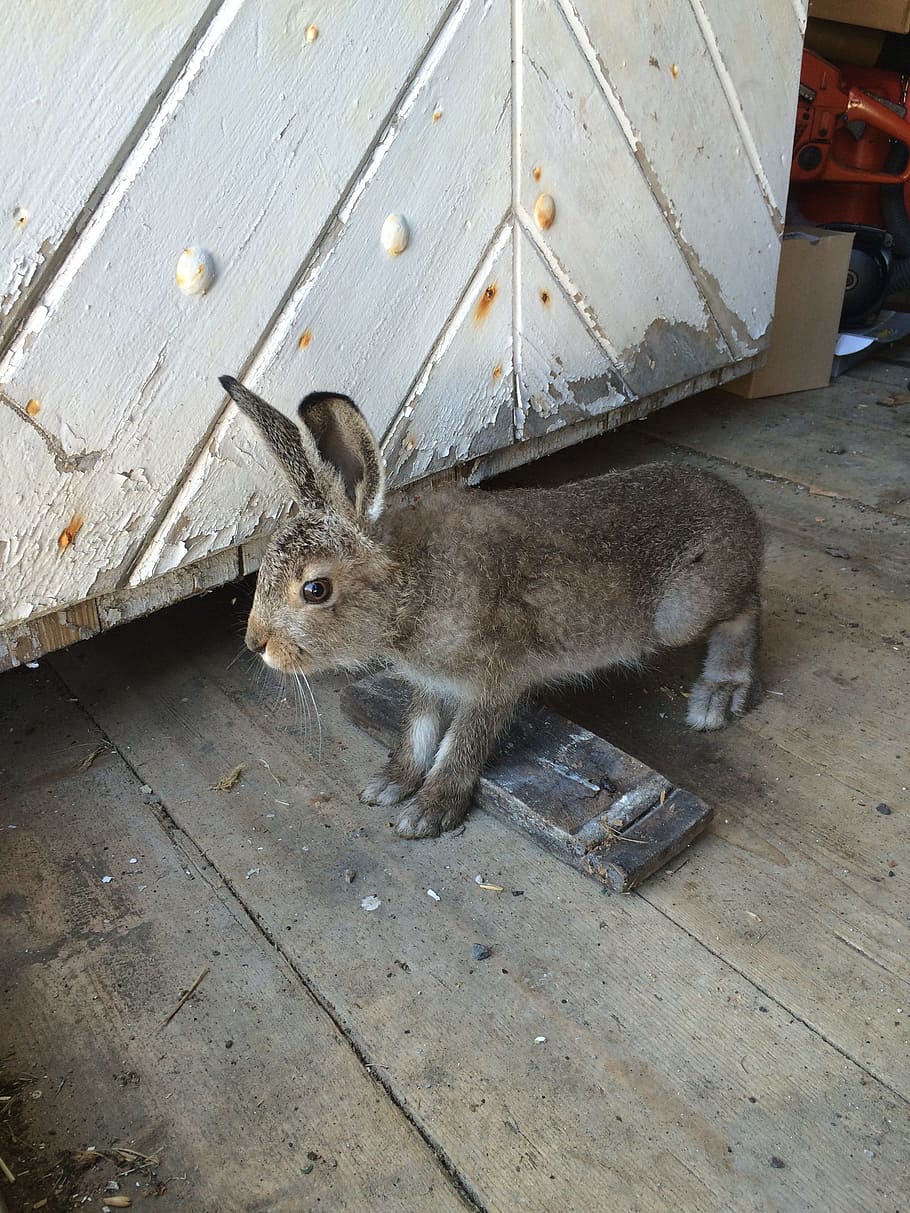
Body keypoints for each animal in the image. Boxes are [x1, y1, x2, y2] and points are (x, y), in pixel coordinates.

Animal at [219, 374, 763, 839]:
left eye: (315, 590)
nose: (256, 643)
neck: (411, 587)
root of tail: (741, 509)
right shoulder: (431, 682)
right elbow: (418, 732)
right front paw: (390, 785)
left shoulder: (495, 680)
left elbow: (461, 745)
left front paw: (427, 812)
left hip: (682, 612)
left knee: (747, 607)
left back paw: (718, 695)